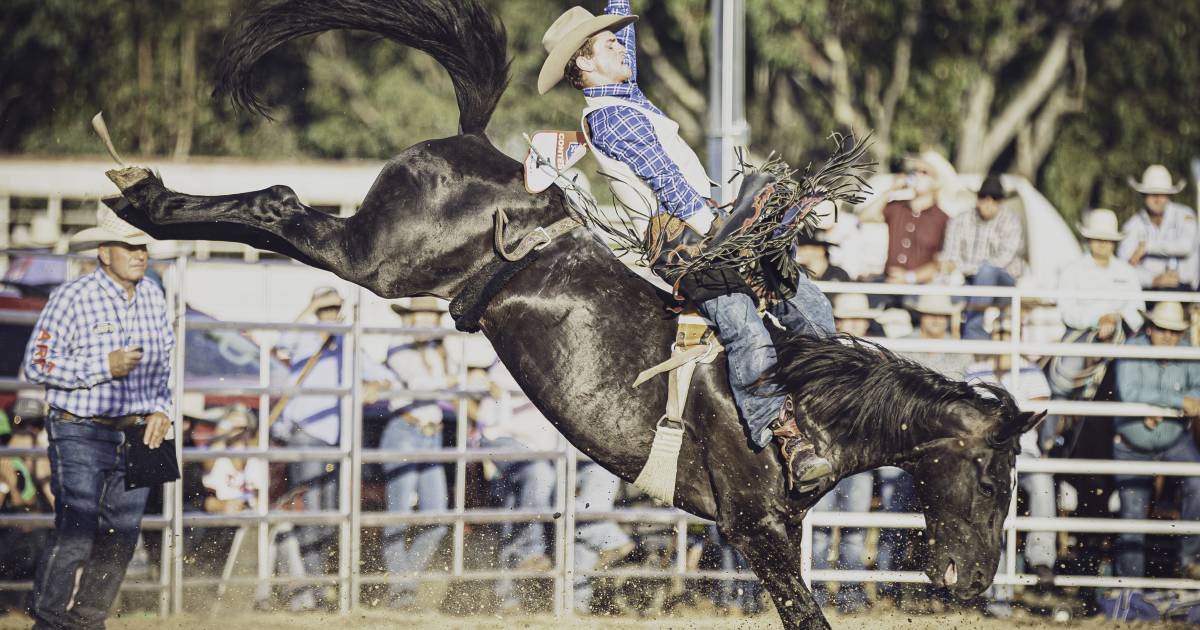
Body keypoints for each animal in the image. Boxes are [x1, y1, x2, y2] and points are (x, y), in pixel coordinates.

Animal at [108, 2, 1051, 624]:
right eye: (996, 477)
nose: (971, 585)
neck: (809, 402)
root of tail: (473, 145)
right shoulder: (757, 527)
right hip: (375, 256)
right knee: (277, 207)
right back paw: (142, 197)